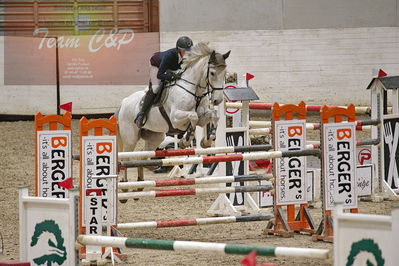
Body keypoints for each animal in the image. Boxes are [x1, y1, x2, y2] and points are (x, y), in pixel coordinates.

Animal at [115, 42, 230, 181]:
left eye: (225, 74)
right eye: (212, 73)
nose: (218, 100)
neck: (194, 90)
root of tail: (124, 101)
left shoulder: (203, 117)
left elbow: (214, 116)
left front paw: (208, 140)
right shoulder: (176, 119)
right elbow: (193, 116)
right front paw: (185, 141)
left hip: (155, 137)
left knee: (142, 154)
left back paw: (141, 180)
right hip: (130, 138)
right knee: (125, 157)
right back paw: (125, 181)